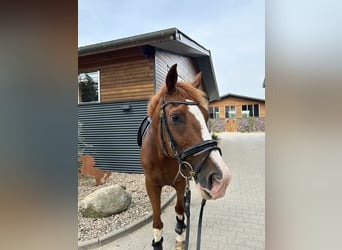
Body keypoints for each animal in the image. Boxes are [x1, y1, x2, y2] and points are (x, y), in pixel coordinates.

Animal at [139, 65, 232, 250]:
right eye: (175, 117)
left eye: (206, 115)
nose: (222, 179)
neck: (161, 157)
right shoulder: (151, 185)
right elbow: (157, 220)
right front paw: (157, 242)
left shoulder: (181, 182)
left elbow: (180, 209)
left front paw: (181, 236)